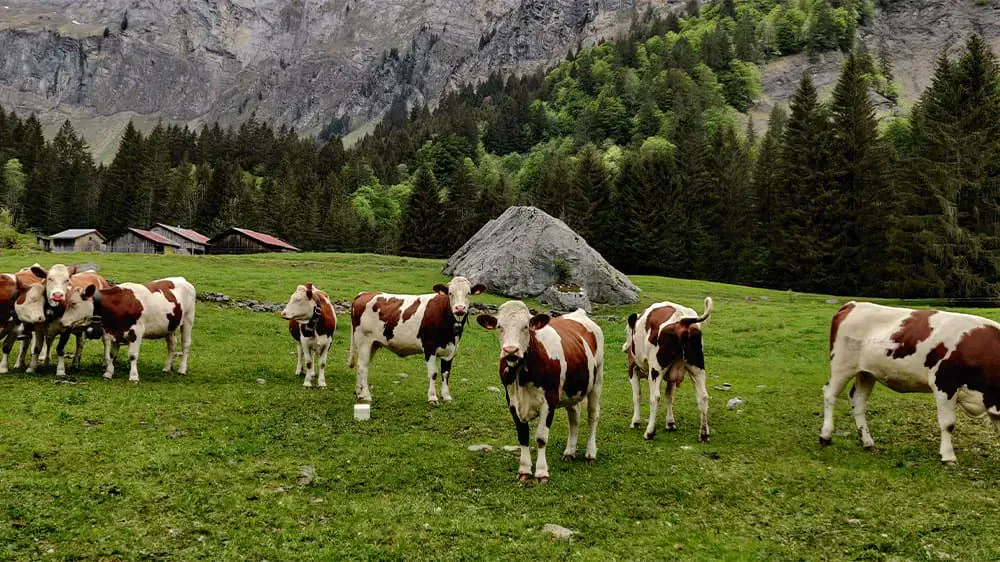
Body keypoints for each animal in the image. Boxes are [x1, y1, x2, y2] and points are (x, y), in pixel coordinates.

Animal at [57, 278, 196, 382]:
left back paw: (182, 370)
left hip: (188, 320)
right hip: (169, 326)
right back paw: (167, 367)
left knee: (185, 345)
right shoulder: (113, 332)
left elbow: (132, 355)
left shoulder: (136, 332)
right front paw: (108, 373)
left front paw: (133, 376)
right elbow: (112, 355)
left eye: (74, 303)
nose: (62, 322)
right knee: (171, 345)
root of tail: (183, 280)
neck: (120, 303)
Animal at [348, 276, 486, 405]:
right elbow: (433, 373)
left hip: (374, 344)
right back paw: (366, 395)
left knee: (362, 365)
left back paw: (359, 393)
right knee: (362, 366)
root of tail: (364, 294)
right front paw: (432, 398)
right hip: (364, 340)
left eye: (468, 293)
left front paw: (446, 396)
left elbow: (446, 373)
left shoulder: (451, 350)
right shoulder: (429, 347)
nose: (460, 308)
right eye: (450, 293)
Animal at [477, 302, 603, 483]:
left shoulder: (549, 401)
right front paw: (524, 470)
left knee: (593, 417)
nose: (510, 350)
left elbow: (541, 437)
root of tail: (578, 314)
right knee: (574, 417)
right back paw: (570, 452)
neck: (521, 376)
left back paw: (590, 454)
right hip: (571, 390)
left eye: (526, 327)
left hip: (597, 381)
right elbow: (523, 436)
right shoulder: (512, 401)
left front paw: (542, 472)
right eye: (499, 326)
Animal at [623, 298, 713, 442]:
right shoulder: (672, 376)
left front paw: (635, 422)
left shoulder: (632, 368)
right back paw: (704, 434)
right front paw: (670, 423)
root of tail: (682, 320)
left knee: (655, 397)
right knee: (703, 396)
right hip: (697, 368)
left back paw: (649, 432)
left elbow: (637, 396)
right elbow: (669, 397)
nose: (625, 348)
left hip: (655, 369)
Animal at [823, 301, 1000, 464]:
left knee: (858, 401)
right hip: (842, 366)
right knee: (830, 394)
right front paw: (948, 456)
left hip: (866, 373)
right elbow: (948, 423)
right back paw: (825, 435)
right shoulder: (943, 384)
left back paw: (867, 442)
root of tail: (853, 304)